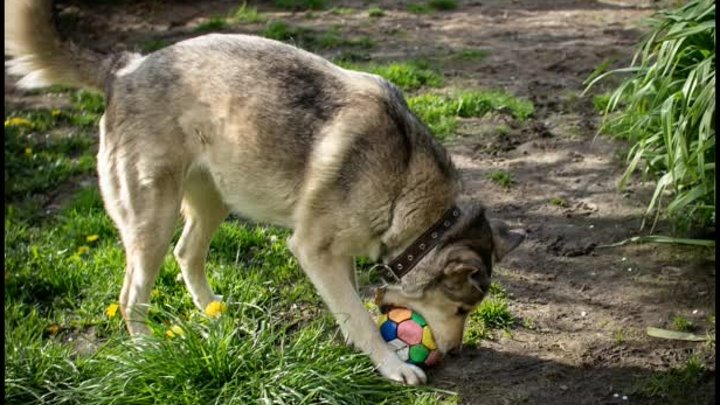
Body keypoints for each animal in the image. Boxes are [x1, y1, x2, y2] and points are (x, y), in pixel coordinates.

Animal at [4, 0, 524, 386]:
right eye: (461, 308)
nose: (453, 352)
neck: (406, 190)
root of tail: (126, 69)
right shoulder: (315, 250)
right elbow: (358, 316)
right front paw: (392, 365)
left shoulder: (338, 257)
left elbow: (349, 306)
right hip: (153, 220)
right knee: (133, 293)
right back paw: (147, 346)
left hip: (213, 201)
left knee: (186, 253)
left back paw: (213, 314)